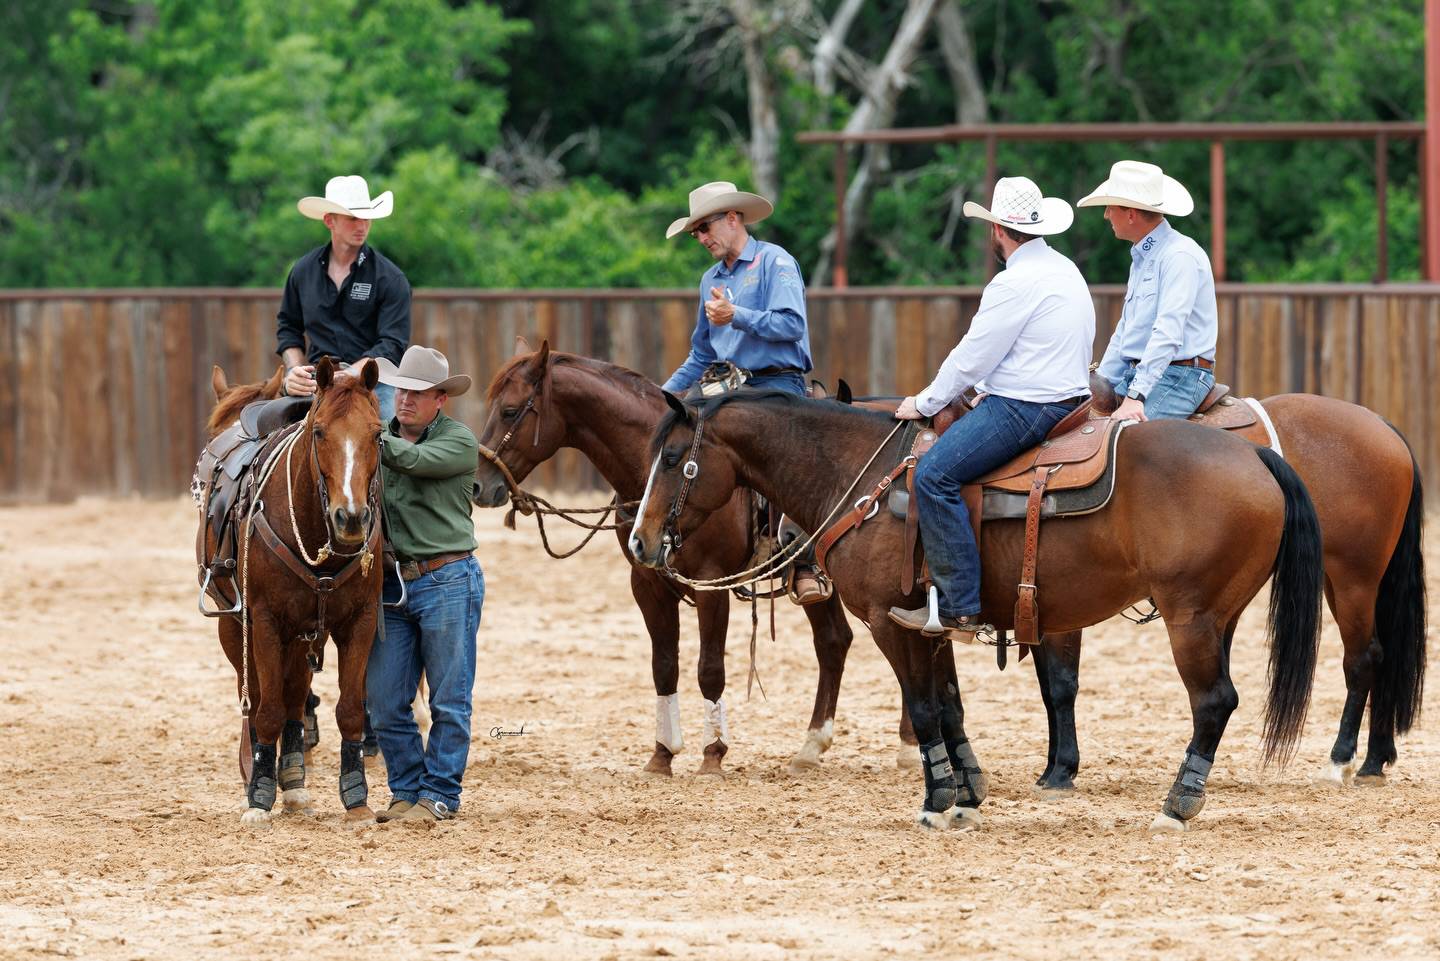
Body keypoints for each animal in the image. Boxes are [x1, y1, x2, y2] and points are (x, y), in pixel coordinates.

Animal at [200, 357, 384, 825]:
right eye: (318, 431)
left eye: (377, 433)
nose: (350, 518)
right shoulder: (261, 621)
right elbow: (264, 707)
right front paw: (259, 795)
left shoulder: (360, 621)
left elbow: (349, 708)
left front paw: (356, 797)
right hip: (237, 626)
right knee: (256, 695)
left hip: (305, 633)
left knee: (294, 695)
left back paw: (295, 781)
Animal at [471, 341, 867, 776]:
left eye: (510, 411)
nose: (478, 486)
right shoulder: (647, 583)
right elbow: (664, 666)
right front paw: (662, 754)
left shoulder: (712, 584)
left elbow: (710, 669)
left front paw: (712, 754)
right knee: (833, 641)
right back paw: (811, 748)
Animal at [629, 390, 1325, 831]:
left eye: (674, 458)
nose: (639, 542)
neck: (865, 481)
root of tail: (1255, 454)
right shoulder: (930, 625)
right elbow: (949, 706)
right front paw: (967, 793)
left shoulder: (887, 622)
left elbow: (921, 708)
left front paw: (936, 799)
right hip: (1220, 617)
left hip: (1191, 618)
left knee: (1214, 700)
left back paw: (1177, 805)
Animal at [1021, 380, 1428, 792]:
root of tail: (1380, 424)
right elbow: (1047, 688)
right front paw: (1051, 768)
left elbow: (1061, 686)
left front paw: (1061, 769)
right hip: (1344, 578)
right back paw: (1374, 760)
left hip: (1353, 580)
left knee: (1363, 659)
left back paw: (1340, 760)